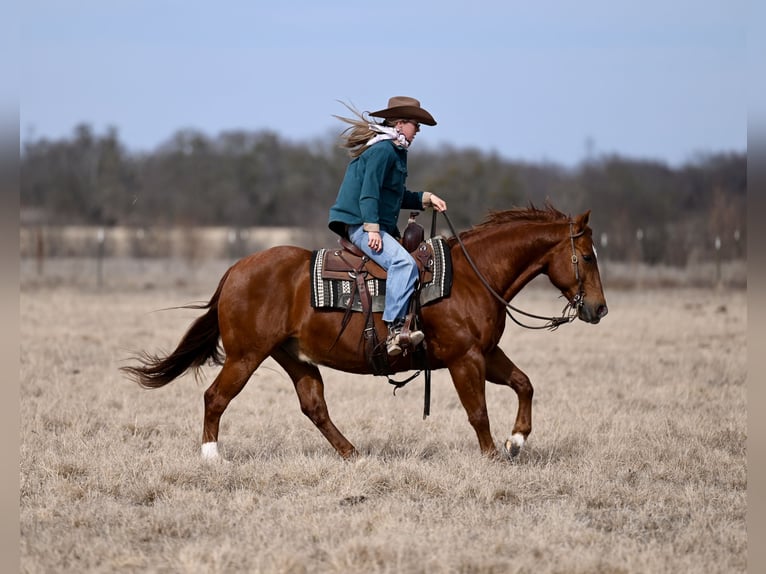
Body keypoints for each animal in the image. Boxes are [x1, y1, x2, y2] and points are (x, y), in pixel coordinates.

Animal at [121, 203, 608, 461]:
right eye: (586, 255)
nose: (599, 308)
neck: (473, 275)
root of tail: (236, 270)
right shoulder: (464, 358)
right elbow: (478, 412)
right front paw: (492, 456)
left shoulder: (486, 353)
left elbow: (524, 384)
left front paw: (517, 440)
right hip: (246, 355)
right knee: (216, 397)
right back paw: (212, 457)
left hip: (291, 356)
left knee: (313, 405)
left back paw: (351, 453)